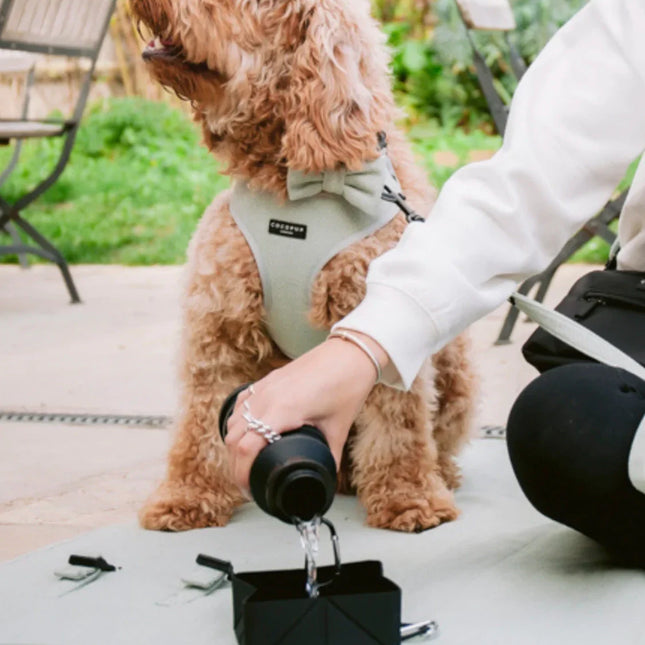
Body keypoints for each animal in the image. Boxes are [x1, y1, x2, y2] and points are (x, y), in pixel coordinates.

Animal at [132, 0, 478, 532]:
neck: (296, 192)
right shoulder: (216, 329)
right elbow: (198, 424)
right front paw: (185, 497)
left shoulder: (376, 328)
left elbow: (399, 426)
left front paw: (410, 498)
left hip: (457, 373)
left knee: (437, 437)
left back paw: (430, 474)